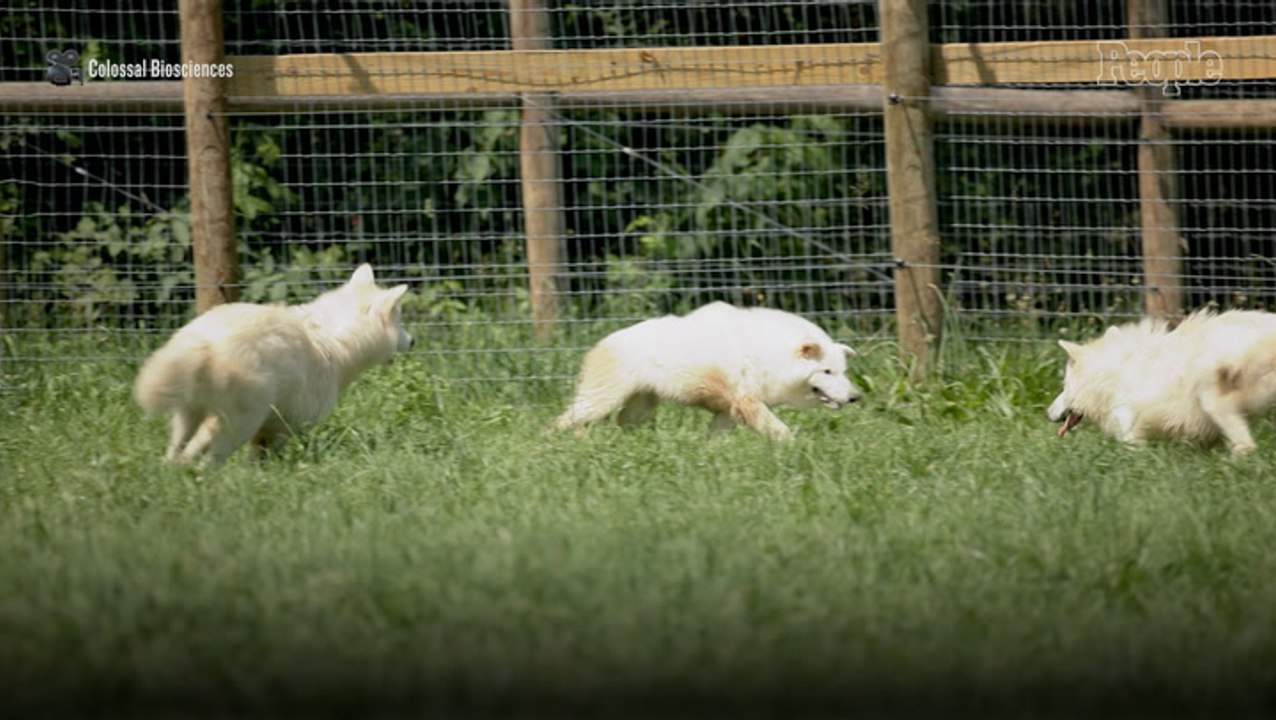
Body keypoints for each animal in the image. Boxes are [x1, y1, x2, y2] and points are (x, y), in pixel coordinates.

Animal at [134, 264, 412, 465]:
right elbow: (263, 453)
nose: (413, 340)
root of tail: (205, 343)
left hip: (188, 414)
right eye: (399, 321)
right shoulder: (284, 425)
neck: (332, 337)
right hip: (241, 420)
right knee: (205, 455)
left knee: (177, 451)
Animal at [552, 302, 862, 440]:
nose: (855, 397)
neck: (772, 353)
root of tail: (601, 343)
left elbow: (716, 437)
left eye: (843, 372)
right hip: (602, 399)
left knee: (621, 422)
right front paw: (794, 448)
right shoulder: (748, 401)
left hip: (640, 405)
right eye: (827, 371)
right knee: (562, 421)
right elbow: (781, 431)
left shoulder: (729, 410)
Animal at [1047, 309, 1276, 454]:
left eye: (1064, 387)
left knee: (1247, 446)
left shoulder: (1132, 433)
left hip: (1210, 391)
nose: (1046, 413)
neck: (1113, 377)